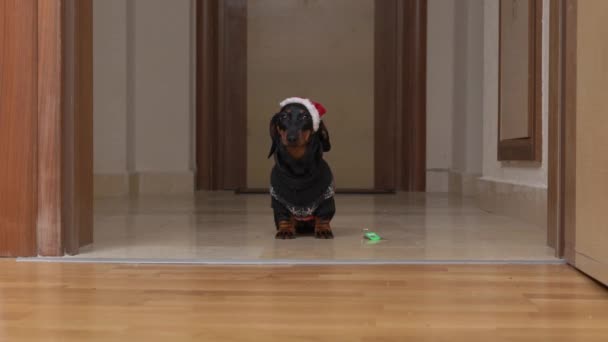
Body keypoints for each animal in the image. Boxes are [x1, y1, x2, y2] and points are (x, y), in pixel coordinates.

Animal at [268, 97, 334, 239]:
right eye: (283, 116)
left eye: (305, 116)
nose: (291, 138)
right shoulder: (279, 201)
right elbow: (284, 217)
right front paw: (285, 230)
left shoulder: (326, 198)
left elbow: (323, 216)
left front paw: (323, 229)